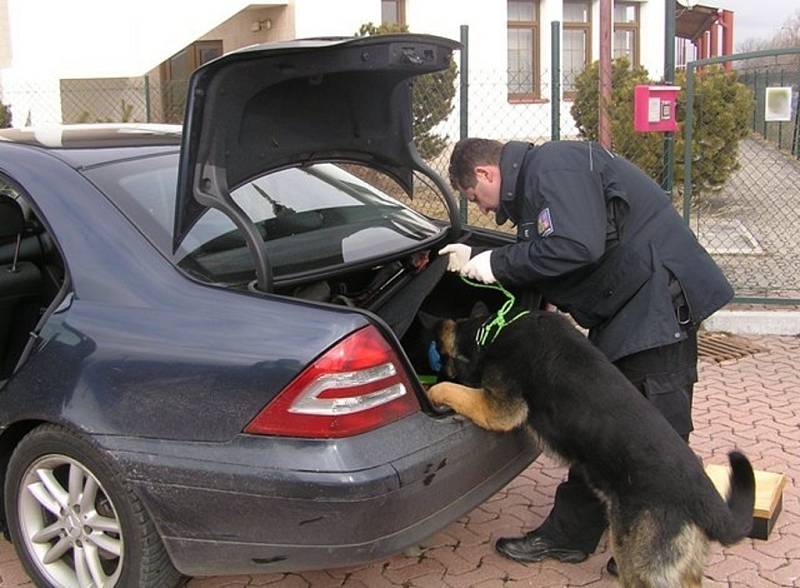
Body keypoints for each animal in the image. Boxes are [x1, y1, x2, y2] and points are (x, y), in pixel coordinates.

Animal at [428, 306, 752, 584]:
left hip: (637, 561)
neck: (493, 329)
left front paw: (434, 391)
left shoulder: (498, 410)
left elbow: (452, 390)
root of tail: (706, 500)